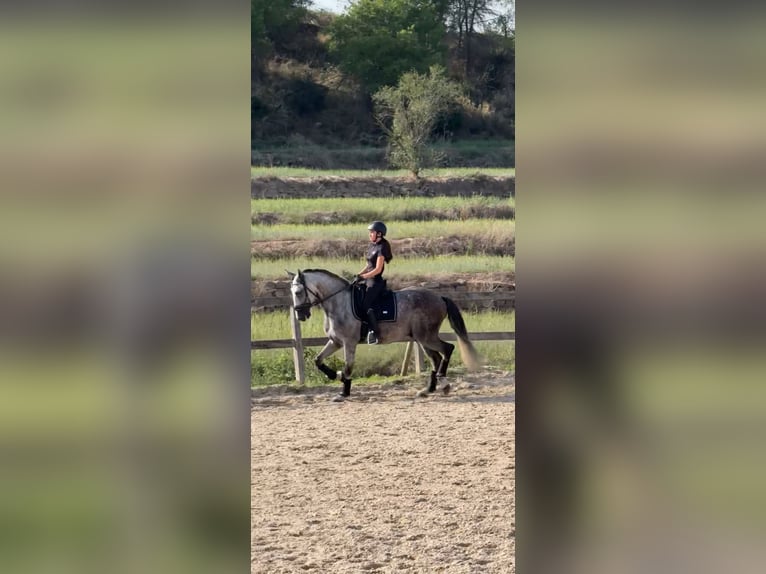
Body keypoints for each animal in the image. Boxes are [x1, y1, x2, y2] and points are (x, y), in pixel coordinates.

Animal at [287, 268, 481, 401]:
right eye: (292, 293)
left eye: (298, 292)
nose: (300, 315)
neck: (338, 303)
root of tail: (440, 297)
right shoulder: (336, 342)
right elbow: (318, 360)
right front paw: (335, 376)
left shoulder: (349, 342)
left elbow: (348, 366)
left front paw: (344, 391)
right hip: (421, 339)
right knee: (436, 358)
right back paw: (429, 389)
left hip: (427, 337)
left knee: (447, 349)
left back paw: (443, 383)